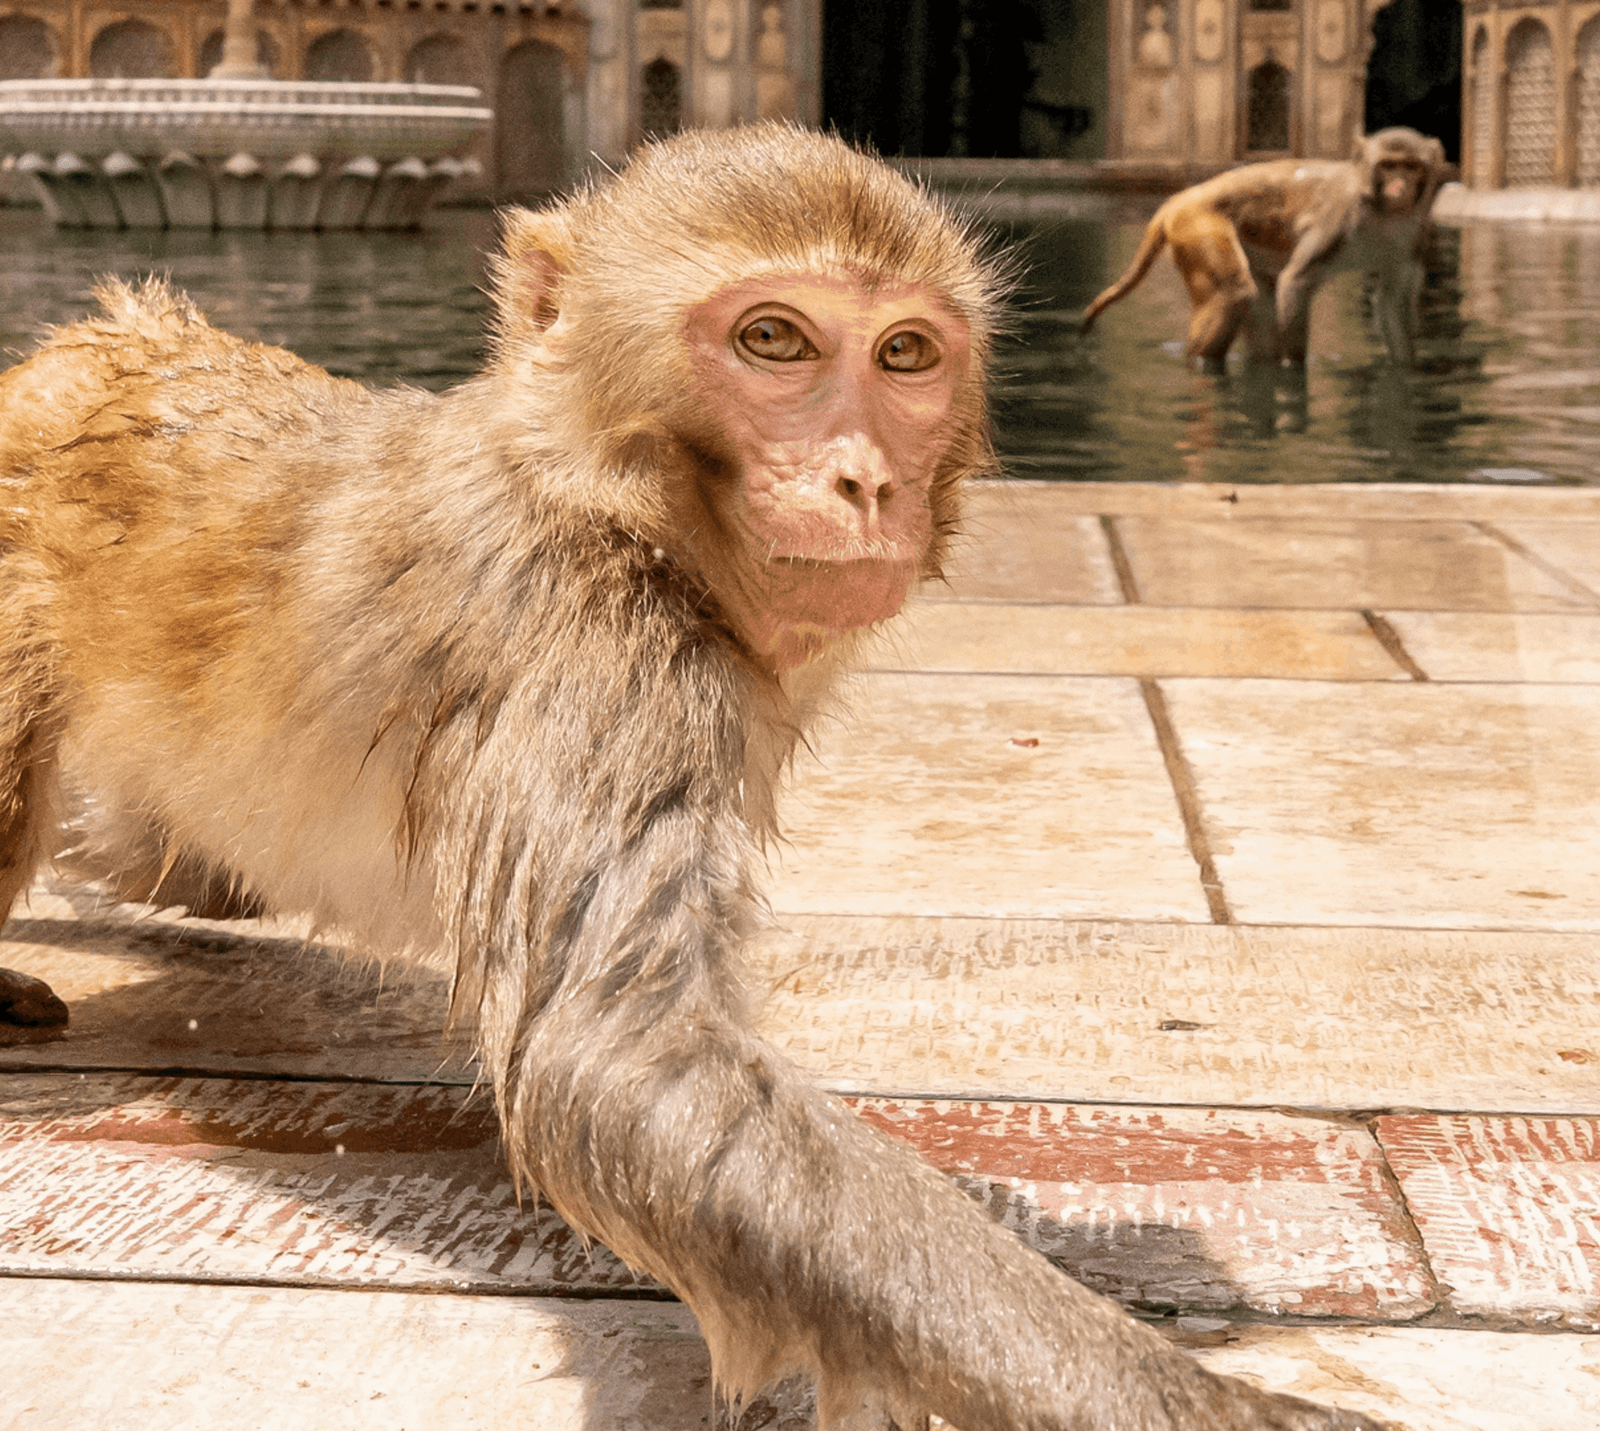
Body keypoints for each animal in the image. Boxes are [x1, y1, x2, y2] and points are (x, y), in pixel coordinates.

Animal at [0, 125, 1384, 1431]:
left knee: (158, 858)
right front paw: (1204, 1404)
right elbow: (619, 1056)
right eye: (773, 339)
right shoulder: (583, 639)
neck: (615, 500)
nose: (864, 478)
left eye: (904, 355)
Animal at [1080, 126, 1447, 372]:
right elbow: (1296, 282)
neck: (1381, 209)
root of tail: (1177, 200)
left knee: (1258, 299)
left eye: (1411, 166)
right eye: (1387, 165)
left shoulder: (1415, 231)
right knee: (1235, 292)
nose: (1399, 186)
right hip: (1197, 226)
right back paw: (1202, 365)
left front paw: (1407, 370)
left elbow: (1392, 301)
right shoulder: (1338, 217)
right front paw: (1294, 373)